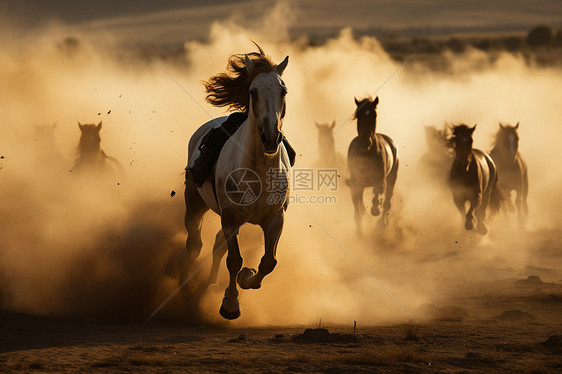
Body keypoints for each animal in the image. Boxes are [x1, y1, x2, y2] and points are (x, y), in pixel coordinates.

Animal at [183, 45, 288, 320]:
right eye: (253, 91)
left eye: (283, 91)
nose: (270, 138)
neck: (258, 172)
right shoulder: (230, 216)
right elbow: (234, 260)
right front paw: (230, 304)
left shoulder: (275, 218)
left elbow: (269, 261)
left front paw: (247, 278)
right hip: (194, 202)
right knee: (194, 242)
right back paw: (186, 282)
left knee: (216, 244)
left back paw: (211, 282)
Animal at [344, 95, 396, 234]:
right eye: (358, 115)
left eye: (374, 115)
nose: (364, 142)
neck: (366, 153)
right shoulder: (356, 184)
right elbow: (357, 206)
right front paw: (359, 229)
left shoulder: (381, 180)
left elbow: (377, 192)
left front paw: (375, 209)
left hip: (392, 178)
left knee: (387, 201)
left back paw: (381, 223)